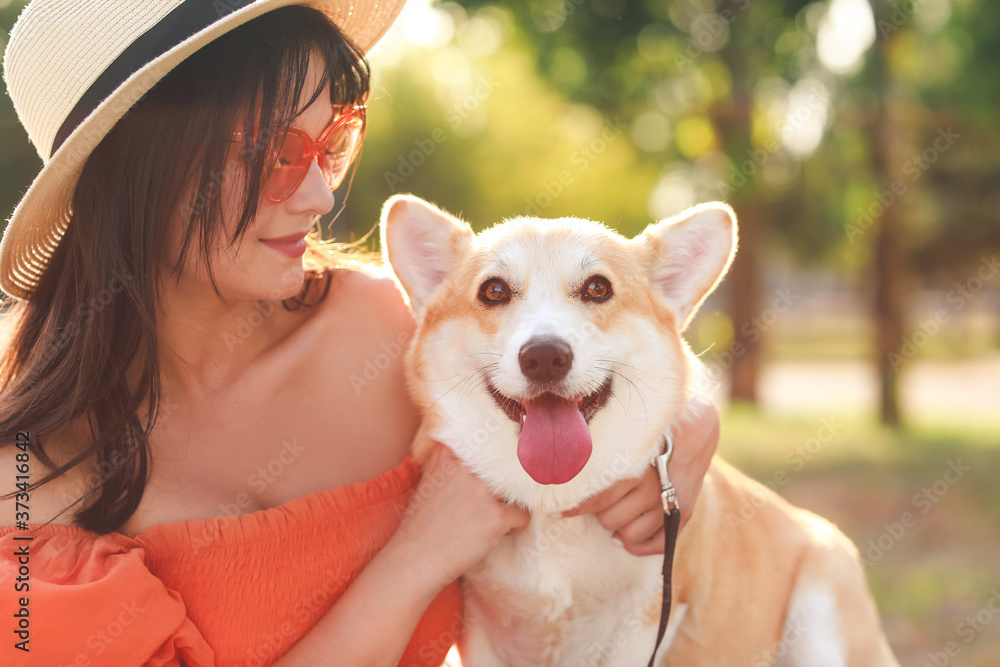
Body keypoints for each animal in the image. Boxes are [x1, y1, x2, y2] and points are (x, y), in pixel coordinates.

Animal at [382, 194, 900, 667]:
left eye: (597, 288)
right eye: (493, 291)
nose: (545, 356)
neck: (554, 505)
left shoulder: (646, 622)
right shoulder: (480, 632)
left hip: (820, 609)